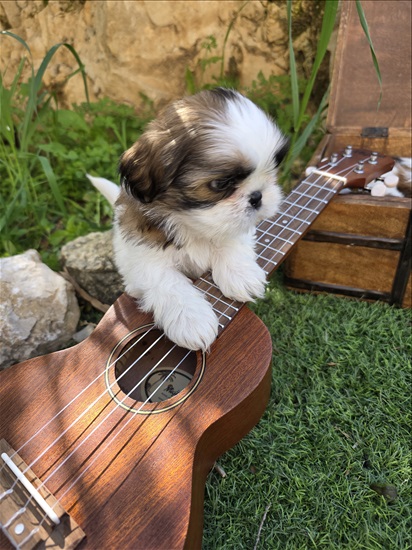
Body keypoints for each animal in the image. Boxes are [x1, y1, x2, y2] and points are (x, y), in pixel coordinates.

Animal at [88, 88, 288, 352]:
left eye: (272, 171)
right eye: (220, 184)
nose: (257, 196)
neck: (192, 225)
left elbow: (232, 239)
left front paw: (240, 274)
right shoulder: (141, 255)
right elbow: (167, 281)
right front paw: (191, 319)